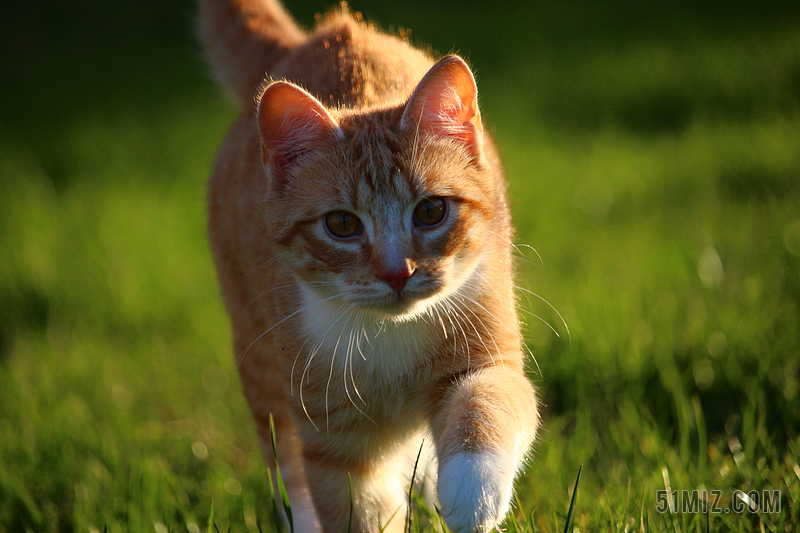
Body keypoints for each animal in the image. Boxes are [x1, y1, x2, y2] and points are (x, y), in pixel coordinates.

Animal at [197, 2, 540, 528]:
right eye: (341, 224)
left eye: (430, 211)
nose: (398, 272)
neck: (388, 338)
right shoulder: (335, 447)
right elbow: (354, 508)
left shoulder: (487, 352)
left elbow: (488, 399)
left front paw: (470, 495)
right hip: (259, 364)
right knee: (285, 464)